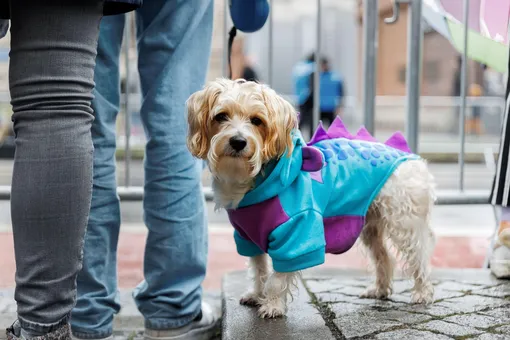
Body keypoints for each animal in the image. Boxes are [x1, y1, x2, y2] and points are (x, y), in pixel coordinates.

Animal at [185, 77, 436, 318]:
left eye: (257, 120)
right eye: (221, 116)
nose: (238, 141)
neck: (256, 182)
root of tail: (412, 158)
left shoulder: (297, 234)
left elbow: (277, 278)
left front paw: (272, 305)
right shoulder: (247, 236)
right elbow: (259, 269)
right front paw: (257, 294)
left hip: (405, 224)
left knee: (420, 256)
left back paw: (422, 293)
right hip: (369, 225)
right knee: (384, 257)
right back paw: (380, 289)